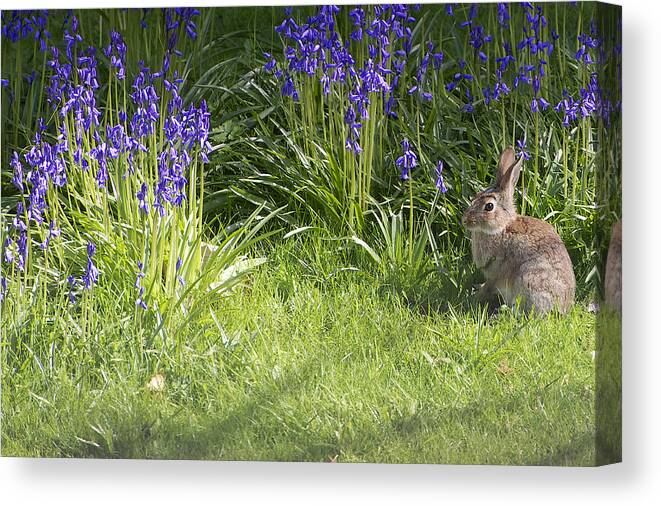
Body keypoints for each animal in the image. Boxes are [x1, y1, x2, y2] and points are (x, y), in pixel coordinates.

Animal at [462, 146, 576, 314]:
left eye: (489, 206)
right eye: (475, 197)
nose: (465, 221)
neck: (501, 227)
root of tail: (564, 307)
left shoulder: (496, 272)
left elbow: (488, 287)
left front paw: (474, 297)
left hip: (529, 279)